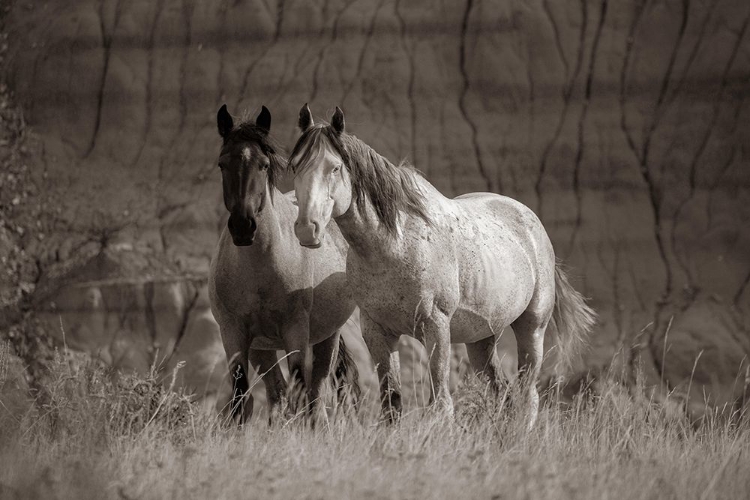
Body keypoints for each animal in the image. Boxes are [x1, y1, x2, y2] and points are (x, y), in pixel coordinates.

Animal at [209, 105, 362, 426]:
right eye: (222, 164)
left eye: (264, 164)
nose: (243, 226)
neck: (259, 272)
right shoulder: (233, 335)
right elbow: (241, 400)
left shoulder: (296, 333)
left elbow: (302, 393)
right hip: (261, 349)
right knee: (277, 395)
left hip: (327, 337)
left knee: (314, 395)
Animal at [290, 104, 596, 426]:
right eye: (294, 166)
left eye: (334, 167)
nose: (307, 229)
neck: (394, 245)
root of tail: (529, 219)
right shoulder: (377, 330)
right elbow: (392, 403)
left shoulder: (435, 325)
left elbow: (441, 403)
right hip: (481, 340)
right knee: (502, 393)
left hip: (532, 327)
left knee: (528, 395)